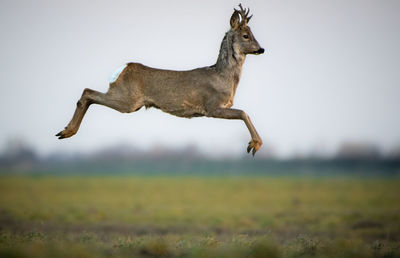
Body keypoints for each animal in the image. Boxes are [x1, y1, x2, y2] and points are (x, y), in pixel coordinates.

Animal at [54, 4, 264, 155]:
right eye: (246, 35)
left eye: (253, 34)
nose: (261, 49)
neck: (223, 76)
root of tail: (123, 68)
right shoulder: (213, 106)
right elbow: (244, 113)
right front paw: (255, 144)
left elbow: (244, 113)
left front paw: (254, 143)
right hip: (128, 100)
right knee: (88, 92)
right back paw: (66, 131)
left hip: (127, 99)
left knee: (89, 93)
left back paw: (65, 131)